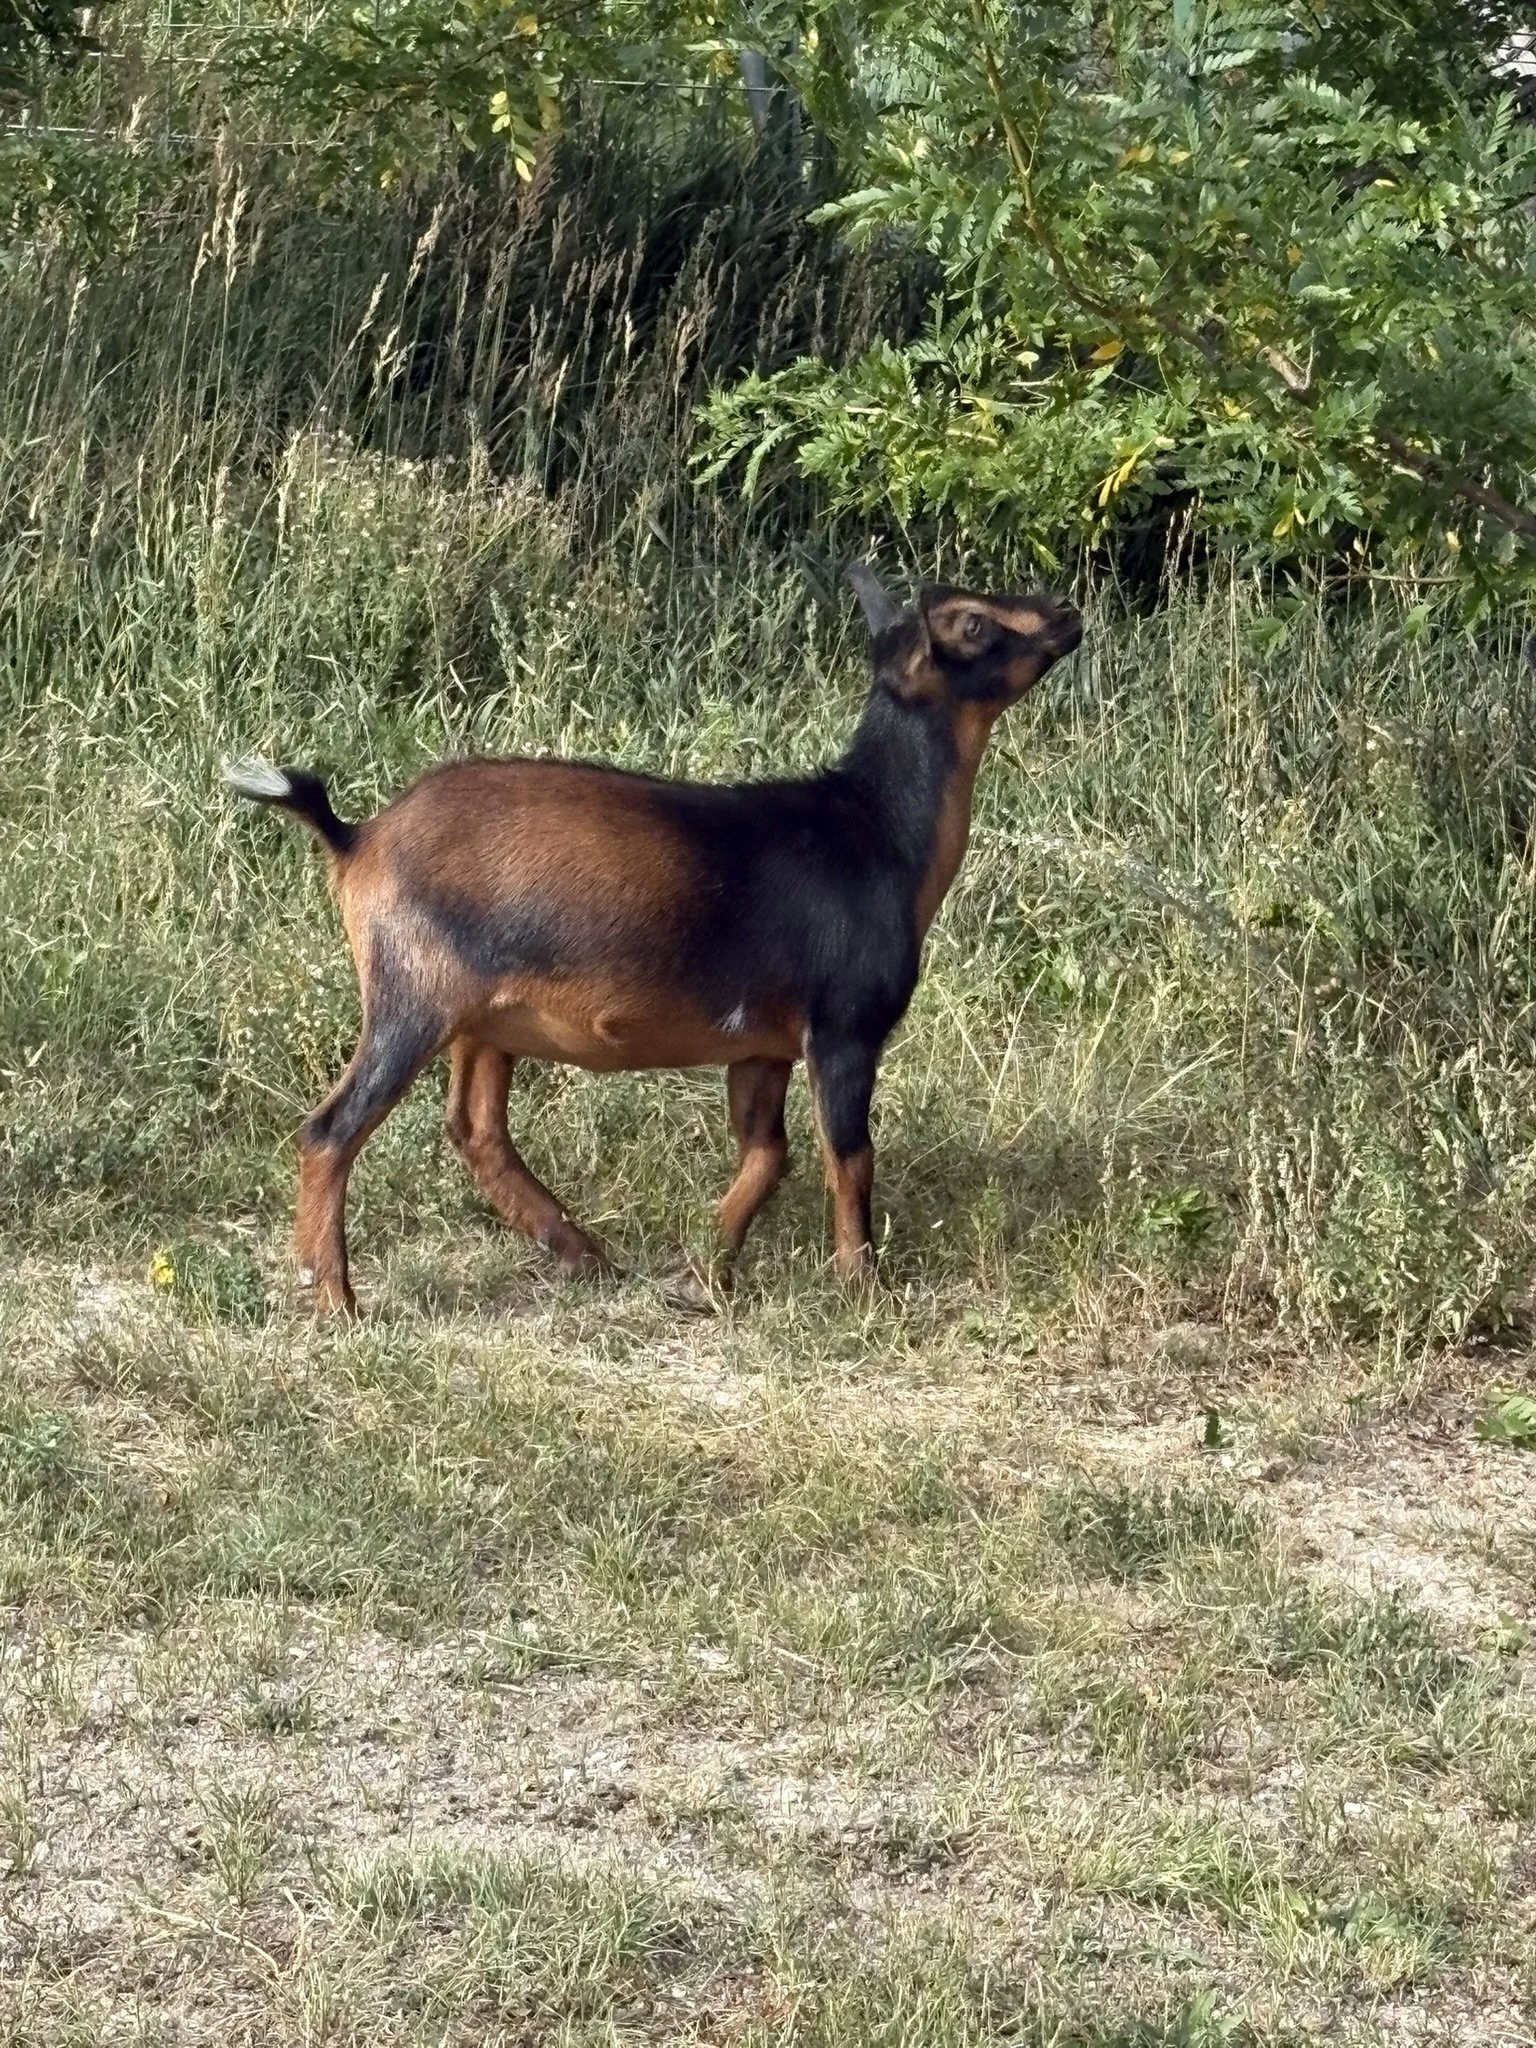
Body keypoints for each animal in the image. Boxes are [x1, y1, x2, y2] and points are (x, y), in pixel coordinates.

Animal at [226, 562, 1082, 1312]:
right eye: (971, 624)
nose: (1067, 612)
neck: (874, 834)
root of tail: (357, 838)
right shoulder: (844, 1026)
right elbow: (849, 1157)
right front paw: (863, 1288)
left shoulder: (762, 1045)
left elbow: (769, 1154)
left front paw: (705, 1271)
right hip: (412, 994)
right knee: (330, 1131)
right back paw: (337, 1301)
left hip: (481, 1019)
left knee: (475, 1128)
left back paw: (582, 1254)